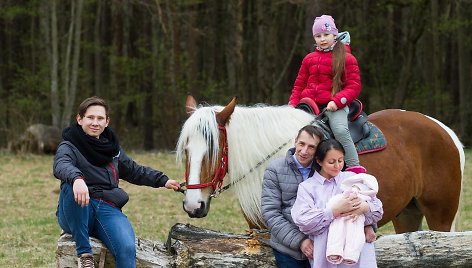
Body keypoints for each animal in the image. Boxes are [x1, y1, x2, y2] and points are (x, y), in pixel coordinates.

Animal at [177, 95, 464, 233]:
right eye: (187, 151)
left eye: (213, 151)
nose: (193, 205)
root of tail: (444, 131)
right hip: (407, 213)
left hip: (440, 216)